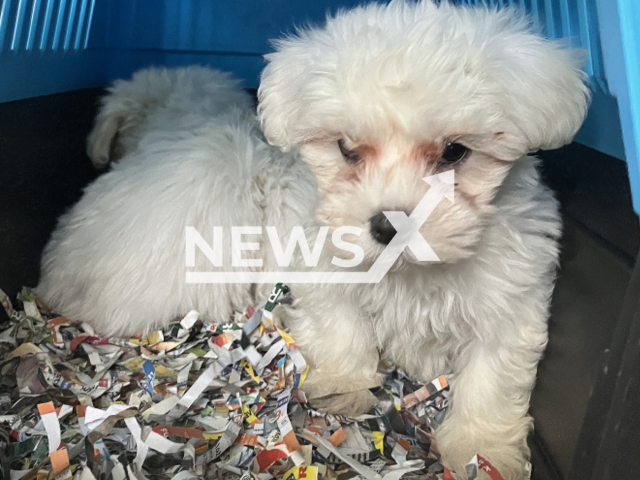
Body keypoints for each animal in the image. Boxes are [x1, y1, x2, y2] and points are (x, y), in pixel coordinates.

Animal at [36, 1, 592, 478]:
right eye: (346, 148)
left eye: (455, 152)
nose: (388, 225)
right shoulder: (322, 271)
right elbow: (342, 326)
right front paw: (344, 388)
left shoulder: (510, 303)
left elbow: (490, 379)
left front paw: (481, 450)